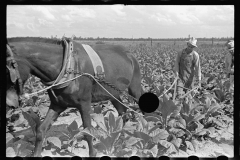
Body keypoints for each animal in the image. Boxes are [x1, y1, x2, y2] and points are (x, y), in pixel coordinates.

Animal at [6, 37, 143, 156]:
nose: (9, 104)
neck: (68, 66)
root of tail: (129, 54)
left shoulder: (84, 104)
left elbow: (88, 132)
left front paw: (93, 153)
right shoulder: (57, 105)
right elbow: (40, 130)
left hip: (134, 88)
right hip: (113, 94)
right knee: (123, 113)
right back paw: (120, 140)